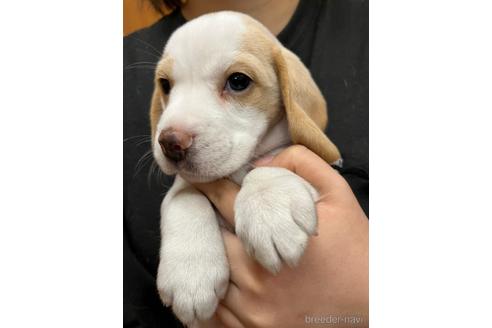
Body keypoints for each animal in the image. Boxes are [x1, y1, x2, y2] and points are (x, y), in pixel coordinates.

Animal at [150, 11, 340, 326]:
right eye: (165, 84)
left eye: (238, 81)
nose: (170, 143)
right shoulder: (187, 184)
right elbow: (184, 194)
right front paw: (190, 273)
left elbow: (264, 168)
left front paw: (269, 208)